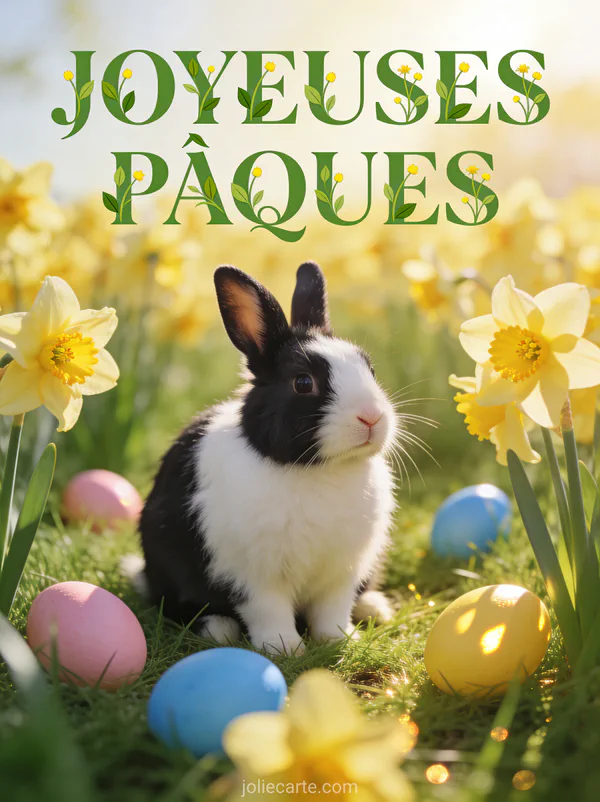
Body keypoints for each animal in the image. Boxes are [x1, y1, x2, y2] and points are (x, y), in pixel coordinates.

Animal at [135, 261, 398, 654]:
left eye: (370, 370)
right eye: (303, 383)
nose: (371, 417)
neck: (317, 469)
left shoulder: (342, 572)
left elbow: (331, 609)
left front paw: (339, 639)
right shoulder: (254, 575)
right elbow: (269, 611)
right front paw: (284, 648)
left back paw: (375, 607)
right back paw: (218, 630)